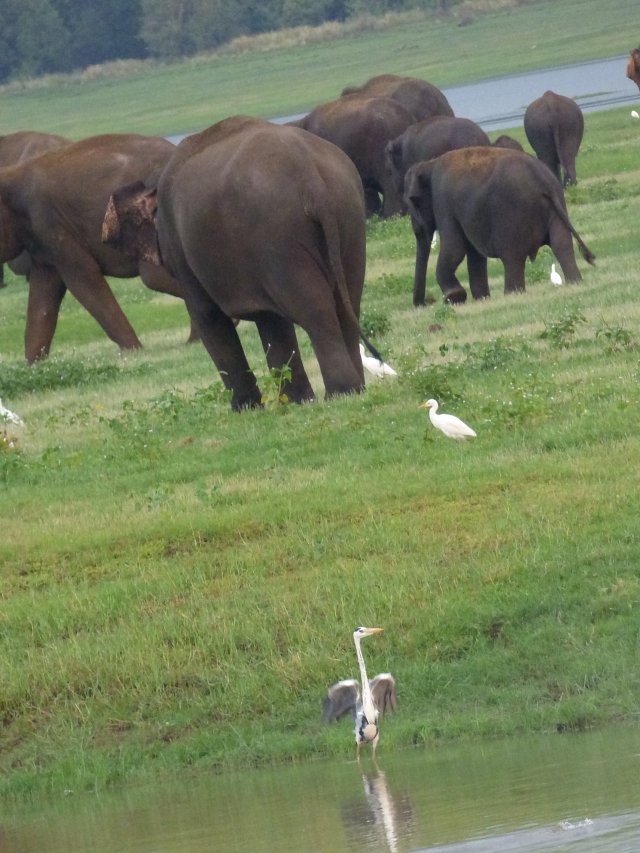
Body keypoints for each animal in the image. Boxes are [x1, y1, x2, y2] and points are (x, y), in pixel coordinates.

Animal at [0, 132, 192, 360]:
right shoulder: (41, 241)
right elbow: (43, 294)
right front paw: (34, 364)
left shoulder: (51, 223)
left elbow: (84, 281)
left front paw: (133, 352)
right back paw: (194, 340)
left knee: (153, 276)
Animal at [102, 115, 368, 410]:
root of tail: (311, 178)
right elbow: (272, 322)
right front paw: (296, 402)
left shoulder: (182, 251)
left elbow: (208, 316)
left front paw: (245, 409)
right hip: (348, 219)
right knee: (348, 302)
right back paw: (356, 390)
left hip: (278, 236)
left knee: (315, 309)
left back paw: (341, 393)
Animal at [404, 146, 596, 306]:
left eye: (413, 202)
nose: (423, 304)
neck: (429, 164)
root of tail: (542, 180)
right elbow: (474, 254)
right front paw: (481, 299)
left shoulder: (443, 203)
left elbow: (455, 248)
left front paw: (454, 298)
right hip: (557, 206)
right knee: (561, 244)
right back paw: (575, 282)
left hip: (512, 215)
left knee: (512, 256)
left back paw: (512, 294)